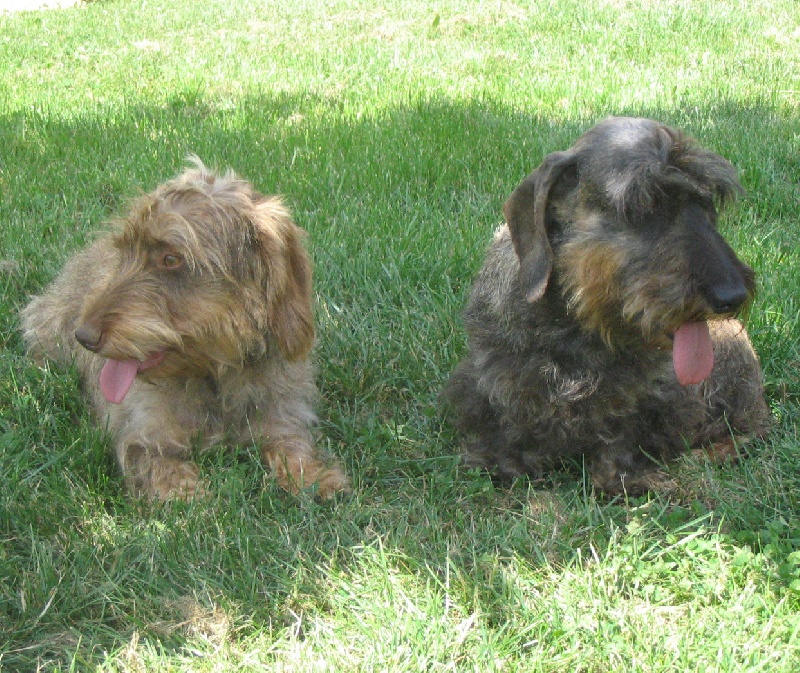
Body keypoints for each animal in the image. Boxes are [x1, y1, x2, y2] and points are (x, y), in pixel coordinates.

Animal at [20, 159, 346, 498]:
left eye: (171, 258)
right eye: (125, 250)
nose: (83, 336)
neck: (213, 375)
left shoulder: (282, 415)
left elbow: (291, 444)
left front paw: (313, 477)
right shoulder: (142, 432)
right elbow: (155, 461)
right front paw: (186, 492)